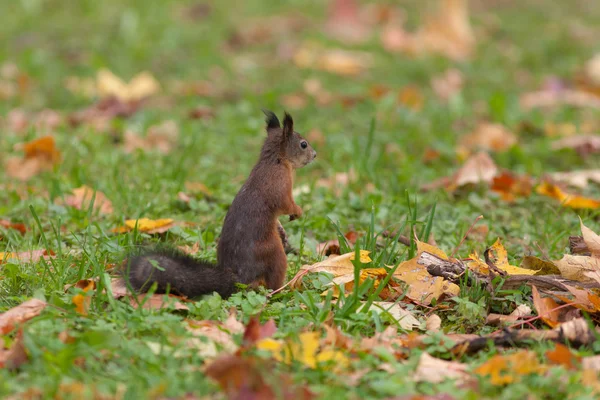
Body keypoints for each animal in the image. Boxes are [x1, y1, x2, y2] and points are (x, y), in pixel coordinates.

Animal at [125, 111, 316, 298]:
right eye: (303, 144)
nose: (315, 155)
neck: (276, 161)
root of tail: (240, 278)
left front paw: (282, 228)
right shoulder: (279, 186)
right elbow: (285, 204)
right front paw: (298, 211)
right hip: (274, 254)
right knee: (272, 281)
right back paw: (284, 289)